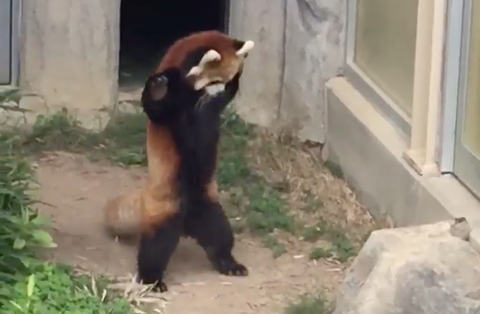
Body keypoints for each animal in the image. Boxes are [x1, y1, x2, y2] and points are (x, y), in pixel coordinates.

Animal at [102, 30, 255, 292]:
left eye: (225, 82)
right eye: (212, 82)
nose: (218, 93)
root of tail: (187, 223)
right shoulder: (170, 103)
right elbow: (155, 107)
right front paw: (158, 88)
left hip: (208, 204)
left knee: (220, 234)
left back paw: (228, 262)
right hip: (167, 208)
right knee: (155, 248)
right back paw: (152, 278)